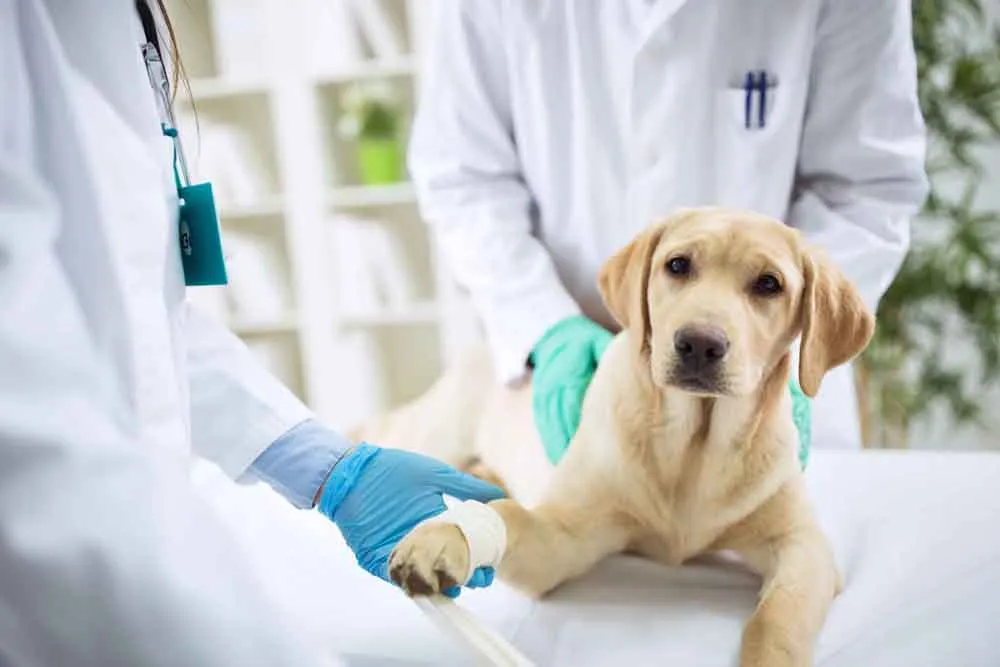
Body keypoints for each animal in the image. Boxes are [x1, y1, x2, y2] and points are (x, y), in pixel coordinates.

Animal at [356, 206, 872, 664]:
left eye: (769, 284)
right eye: (677, 265)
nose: (699, 343)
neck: (695, 445)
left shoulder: (803, 546)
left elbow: (778, 618)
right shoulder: (563, 539)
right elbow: (507, 516)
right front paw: (445, 535)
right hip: (429, 432)